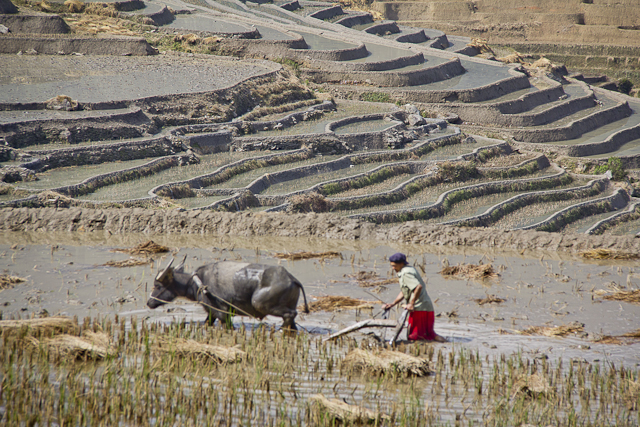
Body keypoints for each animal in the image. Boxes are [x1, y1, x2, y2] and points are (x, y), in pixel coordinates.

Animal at [150, 258, 310, 332]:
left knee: (290, 314)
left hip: (260, 303)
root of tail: (292, 279)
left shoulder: (223, 313)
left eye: (157, 286)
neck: (198, 282)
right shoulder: (212, 313)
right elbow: (206, 323)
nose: (149, 303)